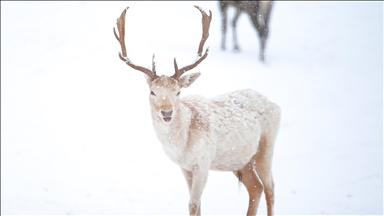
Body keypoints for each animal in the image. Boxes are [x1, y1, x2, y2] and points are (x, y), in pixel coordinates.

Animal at [112, 4, 280, 216]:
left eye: (178, 91)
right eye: (152, 91)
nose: (166, 112)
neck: (181, 146)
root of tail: (275, 105)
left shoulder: (203, 163)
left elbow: (193, 203)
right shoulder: (185, 167)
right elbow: (198, 204)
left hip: (266, 147)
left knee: (270, 188)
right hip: (241, 159)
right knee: (255, 187)